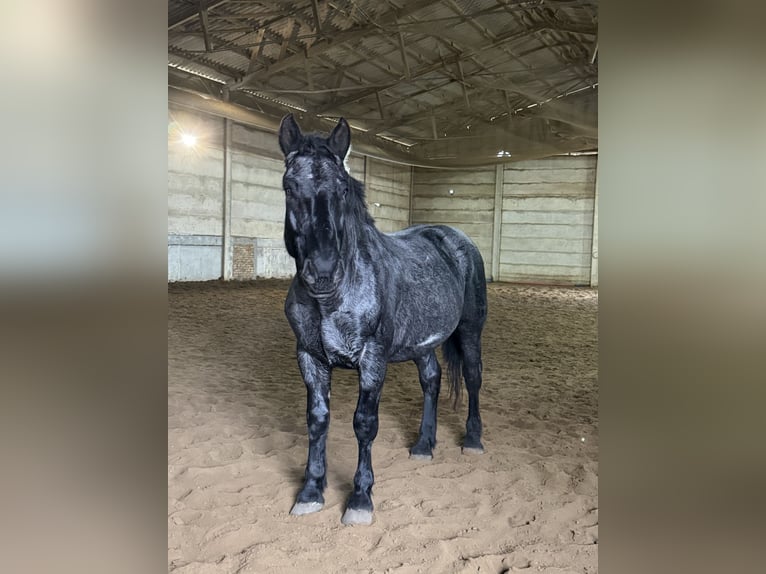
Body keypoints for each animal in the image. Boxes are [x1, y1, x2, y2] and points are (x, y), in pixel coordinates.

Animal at [278, 114, 487, 525]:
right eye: (289, 186)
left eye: (343, 187)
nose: (322, 271)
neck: (333, 298)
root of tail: (455, 238)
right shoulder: (308, 357)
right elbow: (317, 419)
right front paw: (310, 492)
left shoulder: (373, 360)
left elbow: (364, 423)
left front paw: (360, 499)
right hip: (423, 343)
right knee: (432, 380)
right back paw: (423, 445)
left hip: (470, 332)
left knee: (472, 378)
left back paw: (472, 440)